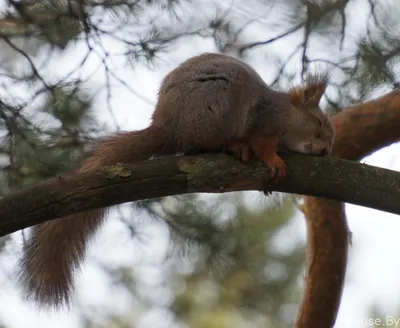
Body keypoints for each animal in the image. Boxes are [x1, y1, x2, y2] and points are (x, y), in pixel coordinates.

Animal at [16, 52, 334, 308]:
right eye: (319, 123)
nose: (325, 151)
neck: (287, 115)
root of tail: (167, 125)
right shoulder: (267, 121)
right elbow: (263, 144)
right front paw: (273, 161)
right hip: (216, 103)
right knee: (207, 143)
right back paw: (234, 145)